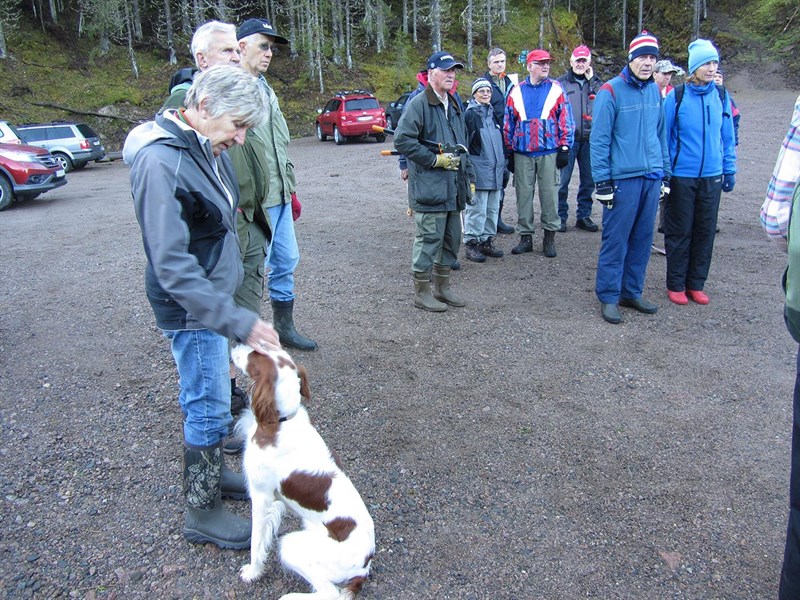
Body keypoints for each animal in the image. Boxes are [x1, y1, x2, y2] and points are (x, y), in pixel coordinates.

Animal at [228, 344, 372, 596]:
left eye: (255, 354)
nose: (234, 344)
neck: (282, 421)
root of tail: (365, 565)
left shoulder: (260, 496)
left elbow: (255, 540)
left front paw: (253, 572)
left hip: (291, 546)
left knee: (331, 594)